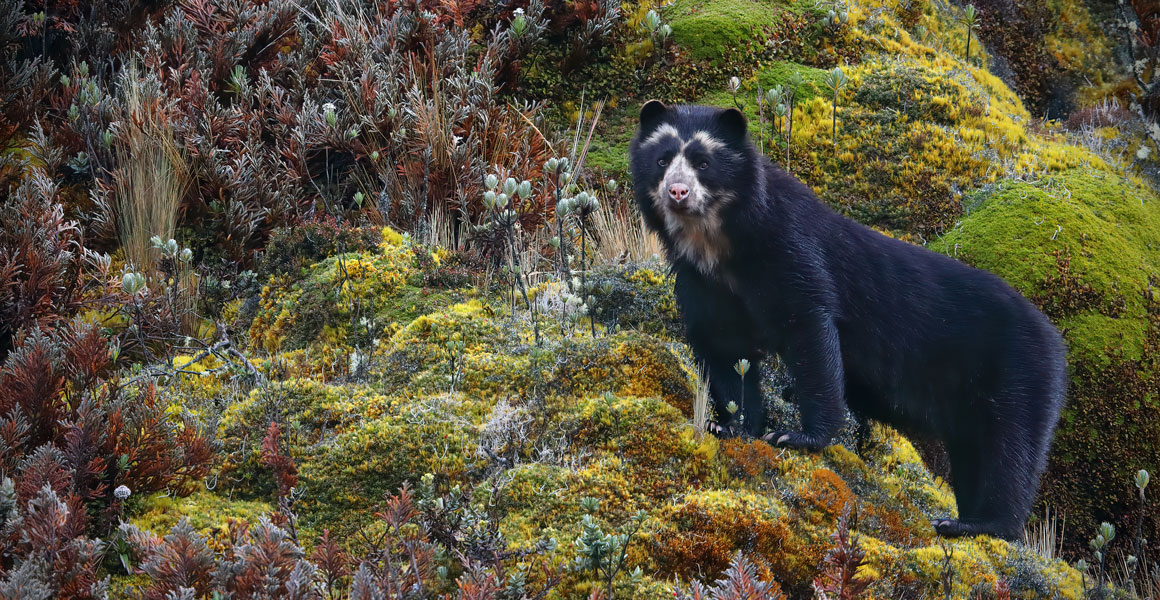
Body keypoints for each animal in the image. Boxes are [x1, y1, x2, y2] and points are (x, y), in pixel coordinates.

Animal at [628, 101, 1068, 541]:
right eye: (663, 159)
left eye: (703, 161)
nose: (677, 192)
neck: (715, 242)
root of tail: (1056, 339)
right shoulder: (701, 280)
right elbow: (723, 347)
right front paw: (730, 427)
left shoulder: (788, 249)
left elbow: (809, 329)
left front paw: (796, 436)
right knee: (975, 454)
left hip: (1016, 374)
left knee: (1007, 449)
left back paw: (978, 525)